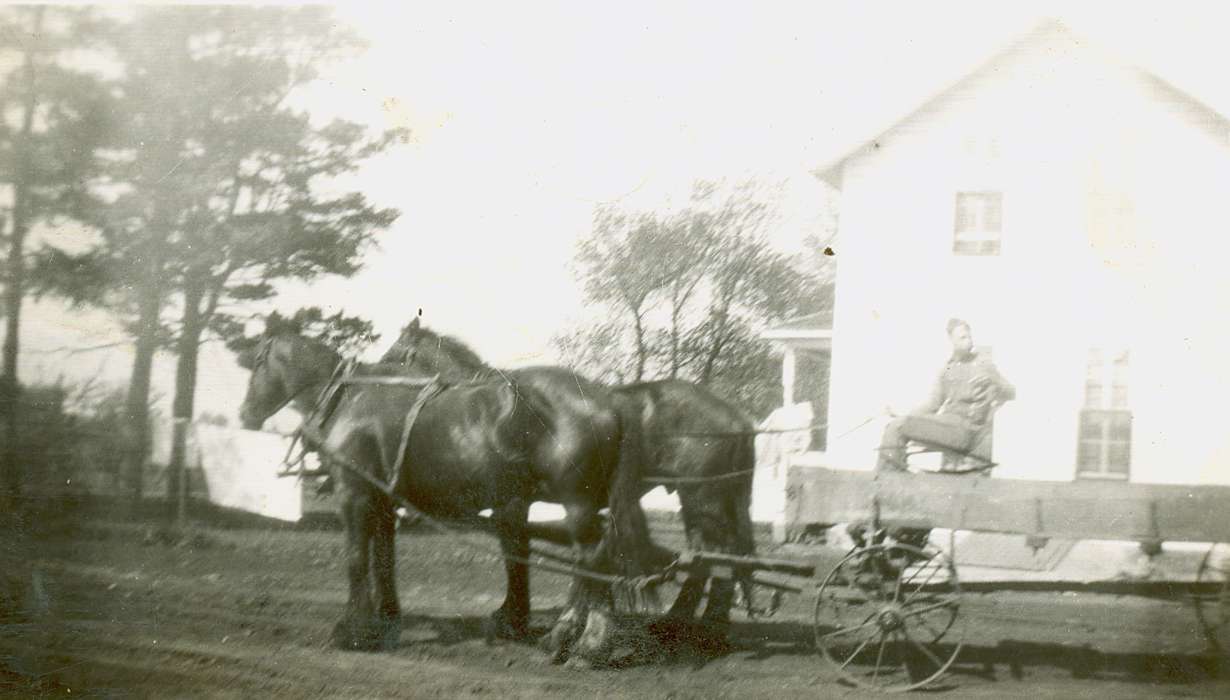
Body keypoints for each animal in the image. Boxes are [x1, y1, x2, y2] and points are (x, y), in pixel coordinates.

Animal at [232, 324, 654, 664]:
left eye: (258, 362)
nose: (243, 415)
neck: (350, 399)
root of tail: (609, 398)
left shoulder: (355, 496)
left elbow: (356, 560)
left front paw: (352, 630)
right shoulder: (385, 500)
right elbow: (384, 561)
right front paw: (386, 620)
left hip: (577, 503)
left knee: (592, 558)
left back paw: (587, 644)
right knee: (593, 558)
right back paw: (567, 635)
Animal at [381, 319, 757, 644]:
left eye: (393, 355)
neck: (487, 409)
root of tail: (737, 416)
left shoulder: (513, 503)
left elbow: (514, 551)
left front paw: (512, 619)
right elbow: (519, 549)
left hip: (702, 498)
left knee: (714, 554)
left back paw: (689, 624)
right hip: (705, 500)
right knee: (717, 555)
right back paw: (695, 622)